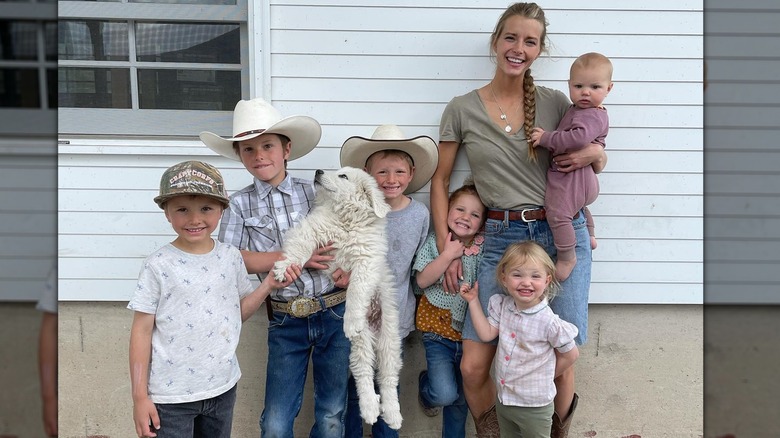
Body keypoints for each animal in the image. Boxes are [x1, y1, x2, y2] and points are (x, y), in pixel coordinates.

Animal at [272, 166, 406, 430]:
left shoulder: (365, 262)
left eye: (343, 176)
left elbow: (356, 292)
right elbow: (300, 249)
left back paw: (392, 414)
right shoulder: (312, 232)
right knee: (364, 373)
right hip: (360, 344)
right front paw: (286, 268)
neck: (346, 218)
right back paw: (370, 408)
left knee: (388, 378)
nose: (318, 170)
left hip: (389, 338)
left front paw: (351, 321)